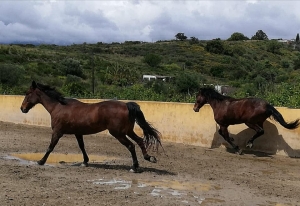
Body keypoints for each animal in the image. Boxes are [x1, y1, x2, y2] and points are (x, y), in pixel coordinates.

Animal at [20, 80, 162, 172]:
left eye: (27, 93)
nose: (22, 109)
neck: (58, 107)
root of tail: (126, 105)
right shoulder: (78, 133)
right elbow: (82, 147)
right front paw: (85, 162)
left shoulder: (57, 132)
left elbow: (50, 147)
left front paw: (41, 161)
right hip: (127, 131)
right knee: (140, 141)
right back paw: (149, 158)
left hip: (118, 133)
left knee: (131, 146)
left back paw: (135, 167)